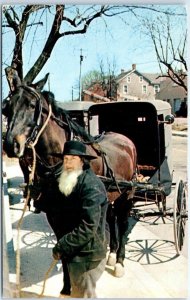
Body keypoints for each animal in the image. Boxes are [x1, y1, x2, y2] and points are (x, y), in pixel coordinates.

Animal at [2, 73, 137, 296]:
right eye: (7, 107)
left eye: (32, 105)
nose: (11, 145)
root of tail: (125, 140)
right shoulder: (55, 214)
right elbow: (63, 247)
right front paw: (66, 288)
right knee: (111, 219)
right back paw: (111, 254)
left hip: (127, 194)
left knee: (123, 223)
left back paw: (119, 262)